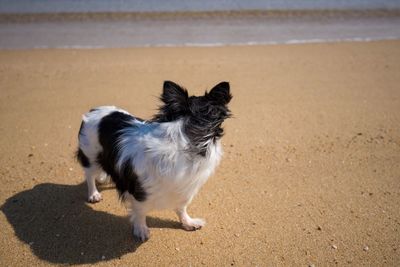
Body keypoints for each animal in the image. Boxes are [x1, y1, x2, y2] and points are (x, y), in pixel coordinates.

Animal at [76, 80, 231, 242]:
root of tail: (94, 109)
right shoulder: (141, 193)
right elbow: (140, 212)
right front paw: (141, 229)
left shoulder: (183, 189)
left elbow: (181, 207)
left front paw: (187, 222)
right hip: (90, 156)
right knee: (90, 175)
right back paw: (93, 194)